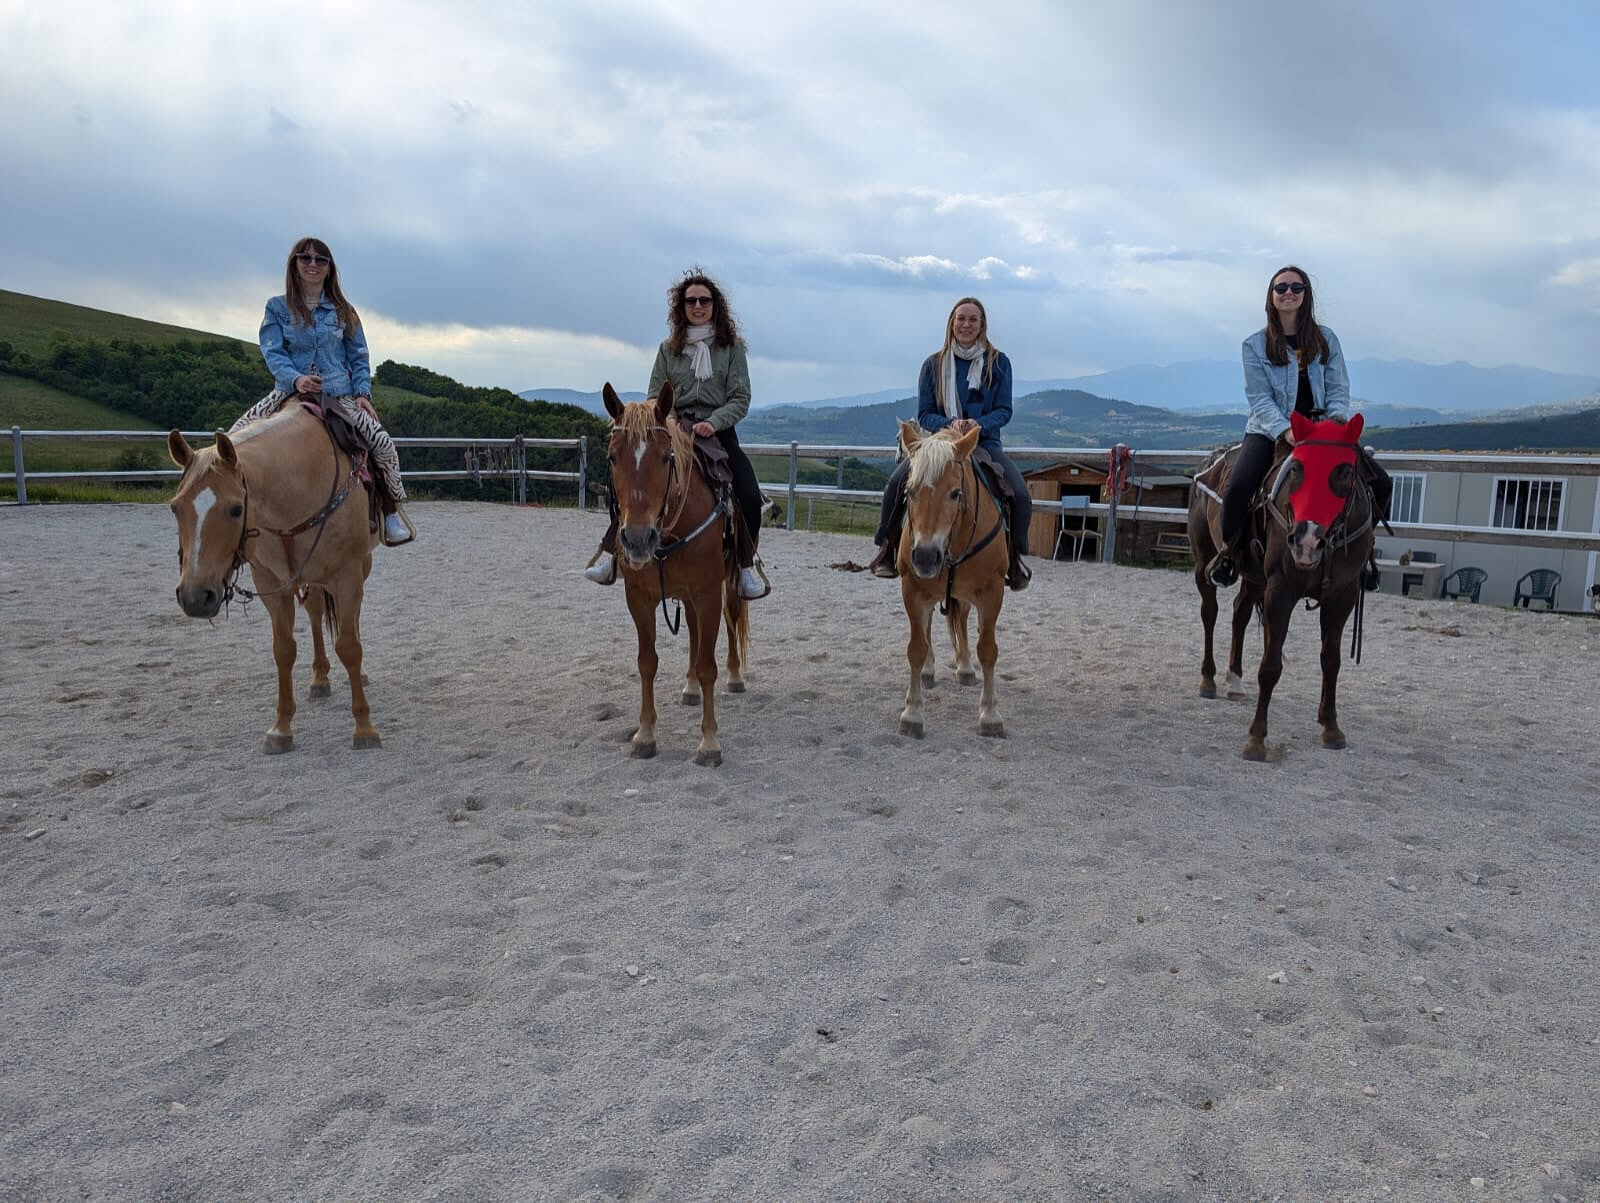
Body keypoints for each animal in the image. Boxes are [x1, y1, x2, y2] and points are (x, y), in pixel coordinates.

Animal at [167, 401, 381, 753]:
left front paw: (364, 728)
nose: (195, 597)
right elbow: (283, 650)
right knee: (315, 613)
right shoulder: (270, 582)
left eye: (236, 509)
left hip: (360, 566)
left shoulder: (347, 575)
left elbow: (349, 646)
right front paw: (281, 728)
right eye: (175, 507)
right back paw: (319, 679)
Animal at [601, 381, 749, 767]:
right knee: (694, 634)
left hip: (727, 584)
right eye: (612, 457)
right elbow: (647, 662)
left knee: (730, 619)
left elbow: (709, 665)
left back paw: (735, 676)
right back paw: (690, 687)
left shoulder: (708, 593)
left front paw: (709, 743)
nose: (638, 539)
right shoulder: (639, 598)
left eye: (666, 457)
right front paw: (645, 735)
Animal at [894, 421, 1011, 739]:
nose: (924, 557)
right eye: (909, 491)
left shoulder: (992, 593)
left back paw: (966, 668)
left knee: (963, 621)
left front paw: (990, 715)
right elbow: (916, 647)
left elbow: (988, 650)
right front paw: (913, 713)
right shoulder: (913, 590)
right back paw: (930, 671)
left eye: (956, 493)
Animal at [1188, 412, 1376, 760]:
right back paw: (1209, 680)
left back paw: (1235, 681)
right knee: (1210, 613)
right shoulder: (1281, 589)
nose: (1306, 540)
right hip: (1204, 561)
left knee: (1239, 614)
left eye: (1344, 470)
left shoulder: (1342, 595)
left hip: (1253, 576)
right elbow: (1270, 665)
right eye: (1297, 467)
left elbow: (1331, 660)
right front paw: (1256, 739)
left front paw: (1331, 727)